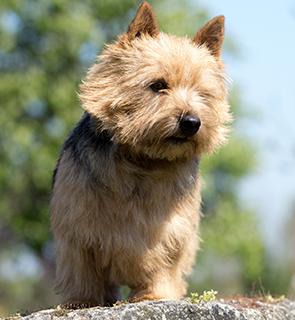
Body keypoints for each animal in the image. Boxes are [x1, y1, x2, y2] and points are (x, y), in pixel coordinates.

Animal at [51, 1, 232, 308]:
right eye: (158, 85)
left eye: (202, 93)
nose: (191, 122)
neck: (145, 159)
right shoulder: (77, 224)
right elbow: (82, 267)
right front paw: (83, 300)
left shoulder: (172, 233)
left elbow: (162, 264)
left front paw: (154, 294)